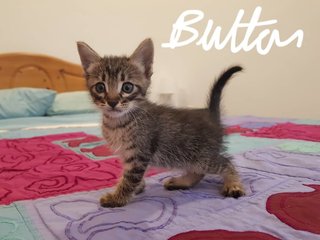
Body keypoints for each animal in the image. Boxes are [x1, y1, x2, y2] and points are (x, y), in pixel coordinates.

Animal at [77, 38, 245, 207]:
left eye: (127, 87)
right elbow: (129, 176)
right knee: (199, 172)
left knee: (226, 162)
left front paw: (117, 198)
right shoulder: (126, 154)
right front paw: (138, 187)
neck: (118, 122)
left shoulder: (139, 154)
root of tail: (211, 113)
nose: (112, 102)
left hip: (202, 156)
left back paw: (233, 184)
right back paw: (182, 182)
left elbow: (130, 179)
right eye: (100, 87)